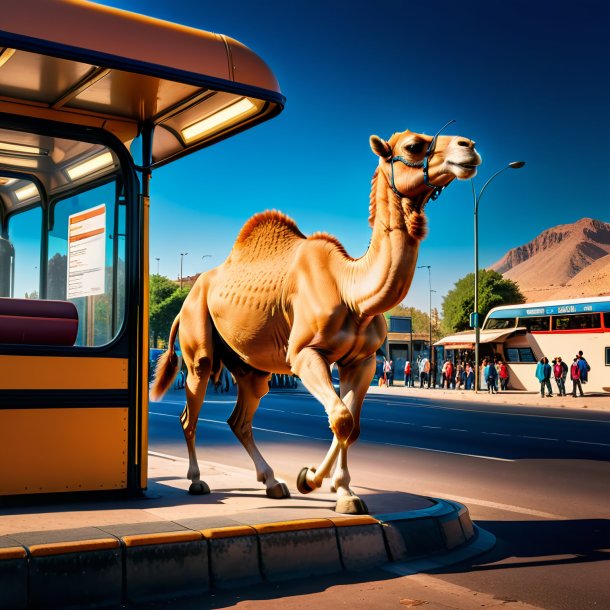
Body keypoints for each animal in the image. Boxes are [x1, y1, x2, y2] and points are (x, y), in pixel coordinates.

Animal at [150, 124, 478, 512]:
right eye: (414, 146)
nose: (469, 147)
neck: (352, 292)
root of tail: (185, 301)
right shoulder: (305, 353)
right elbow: (341, 417)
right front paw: (308, 479)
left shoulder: (362, 361)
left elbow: (353, 424)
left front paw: (345, 492)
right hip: (199, 345)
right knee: (190, 414)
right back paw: (197, 480)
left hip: (251, 368)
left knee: (240, 418)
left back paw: (272, 482)